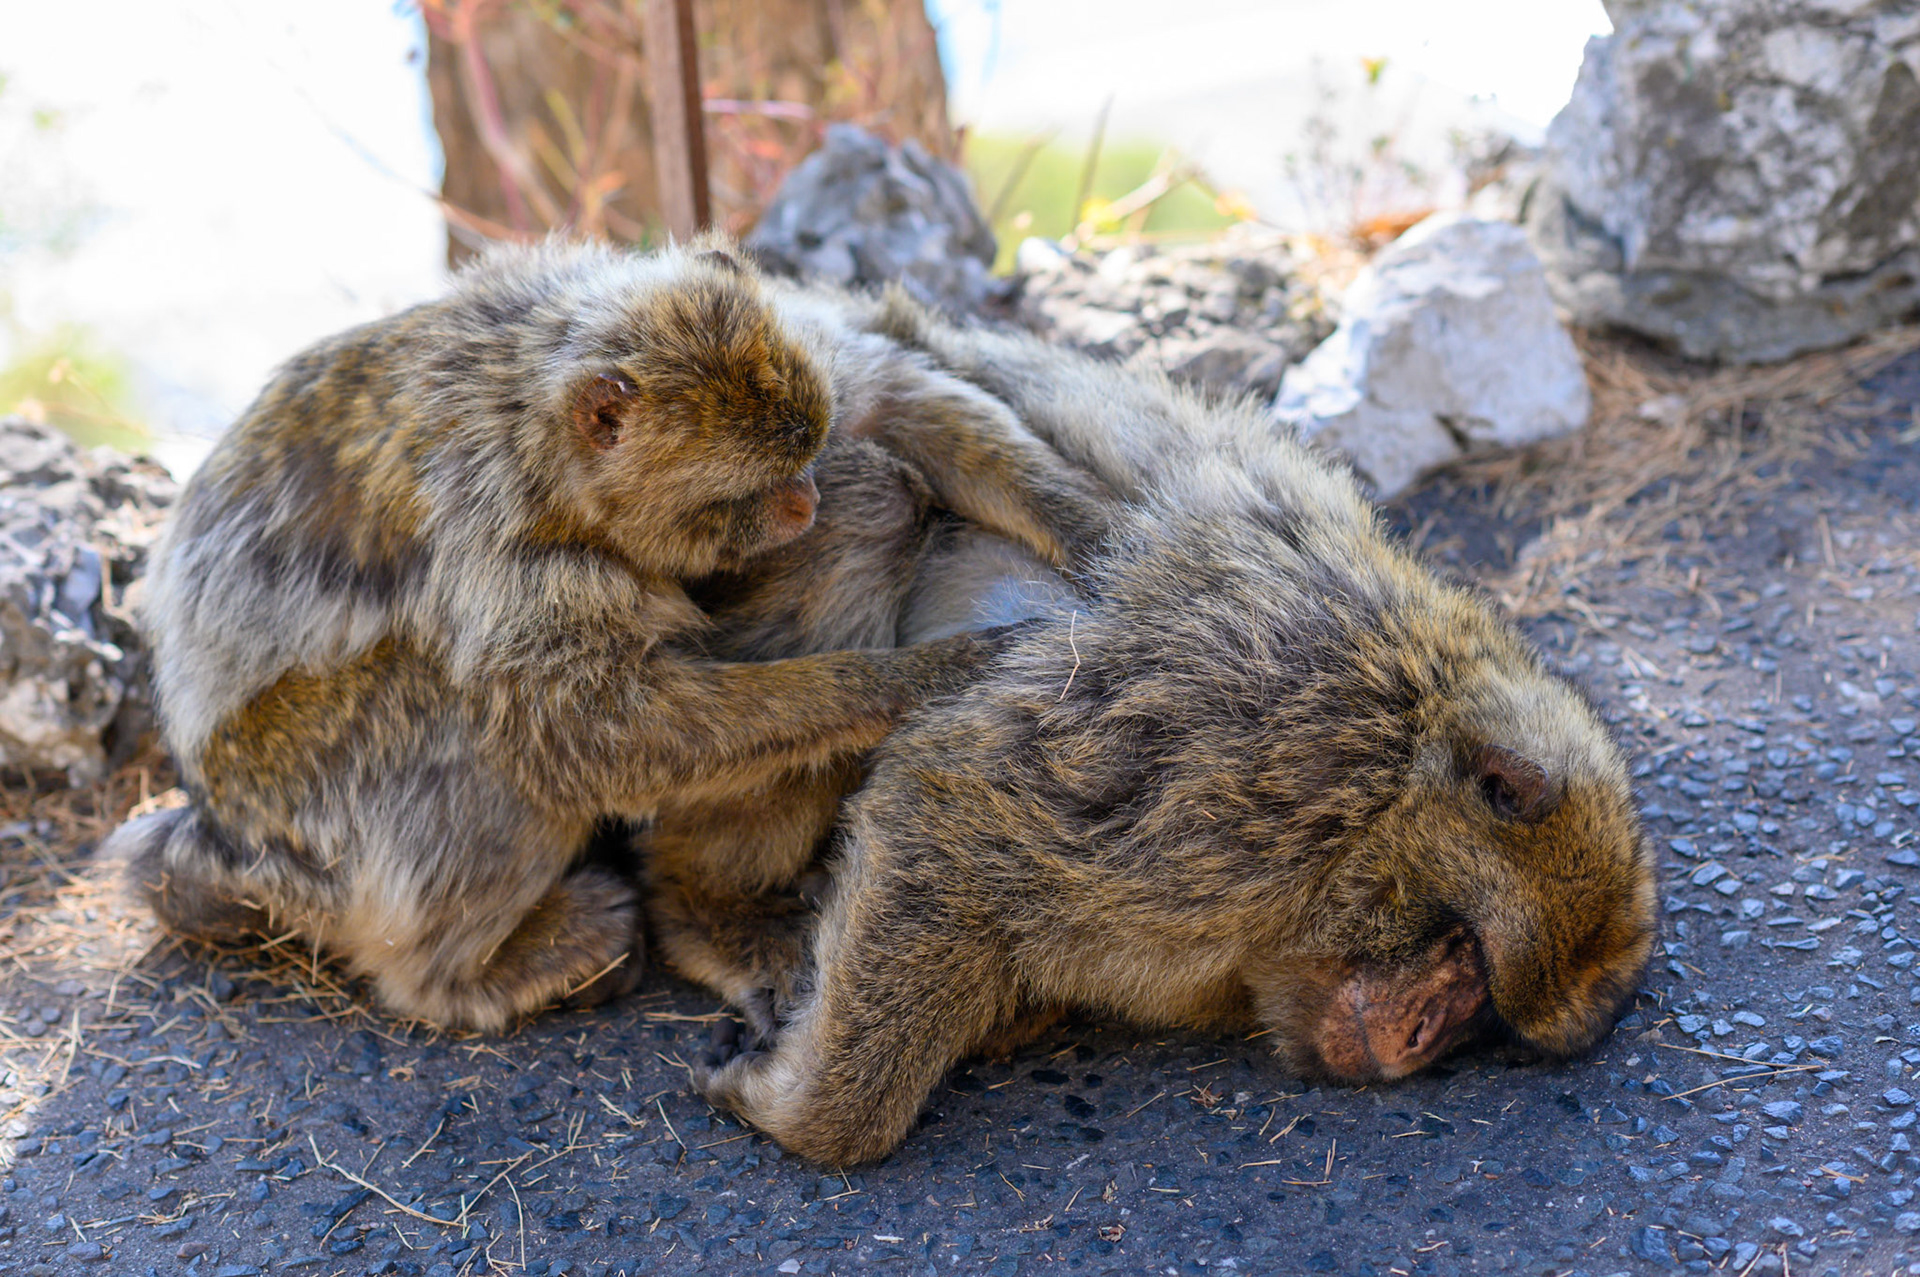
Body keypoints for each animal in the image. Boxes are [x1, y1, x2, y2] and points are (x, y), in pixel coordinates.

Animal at [100, 238, 1115, 1032]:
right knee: (458, 722)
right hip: (303, 805)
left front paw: (1104, 533)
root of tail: (220, 825)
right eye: (744, 491)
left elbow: (898, 399)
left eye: (801, 448)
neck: (524, 403)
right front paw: (919, 678)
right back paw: (466, 975)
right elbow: (582, 734)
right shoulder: (505, 548)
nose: (804, 498)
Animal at [679, 301, 1658, 1165]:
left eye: (1481, 1018)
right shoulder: (1265, 756)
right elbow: (947, 812)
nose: (1420, 1033)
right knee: (875, 497)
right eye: (1466, 959)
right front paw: (804, 1110)